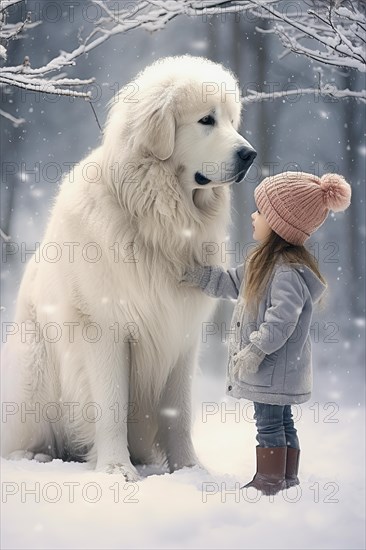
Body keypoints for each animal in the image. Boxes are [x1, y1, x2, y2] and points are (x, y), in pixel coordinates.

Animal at [1, 54, 256, 480]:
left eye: (232, 120)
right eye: (206, 120)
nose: (249, 155)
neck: (154, 218)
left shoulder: (181, 333)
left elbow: (178, 411)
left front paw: (189, 469)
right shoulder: (104, 328)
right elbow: (111, 405)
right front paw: (117, 469)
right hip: (33, 369)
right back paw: (34, 457)